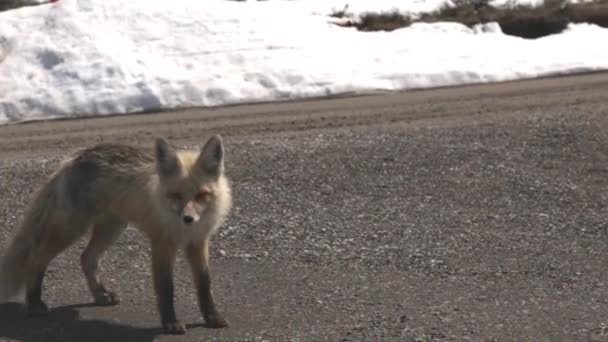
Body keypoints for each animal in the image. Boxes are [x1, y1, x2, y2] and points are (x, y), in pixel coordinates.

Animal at [0, 135, 233, 336]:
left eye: (201, 195)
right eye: (175, 195)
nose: (188, 219)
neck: (183, 230)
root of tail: (73, 158)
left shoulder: (198, 241)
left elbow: (204, 284)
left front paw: (212, 318)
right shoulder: (162, 243)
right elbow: (166, 287)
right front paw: (170, 323)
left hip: (112, 228)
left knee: (86, 258)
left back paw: (100, 295)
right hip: (71, 229)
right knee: (36, 258)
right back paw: (34, 303)